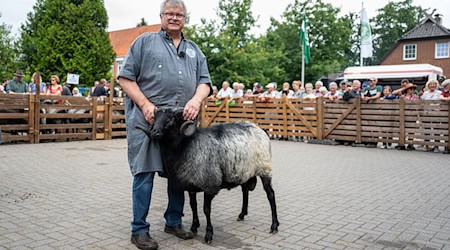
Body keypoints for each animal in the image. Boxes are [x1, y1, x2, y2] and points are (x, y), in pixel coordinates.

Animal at [137, 108, 278, 244]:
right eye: (156, 118)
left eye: (171, 120)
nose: (154, 132)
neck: (185, 146)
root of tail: (261, 129)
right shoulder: (191, 185)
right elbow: (193, 206)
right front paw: (194, 227)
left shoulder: (209, 183)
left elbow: (206, 210)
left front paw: (208, 234)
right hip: (244, 171)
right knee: (245, 190)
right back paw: (242, 214)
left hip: (265, 168)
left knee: (270, 194)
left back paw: (274, 226)